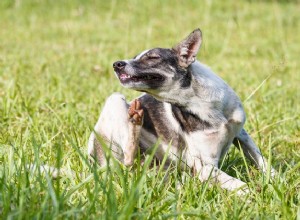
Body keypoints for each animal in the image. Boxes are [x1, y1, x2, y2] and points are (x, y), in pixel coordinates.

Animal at [87, 28, 274, 192]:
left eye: (152, 57)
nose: (116, 64)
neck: (200, 102)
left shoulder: (241, 134)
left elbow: (263, 161)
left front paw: (275, 181)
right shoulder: (205, 167)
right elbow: (241, 186)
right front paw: (258, 194)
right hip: (115, 100)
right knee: (128, 159)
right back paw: (135, 119)